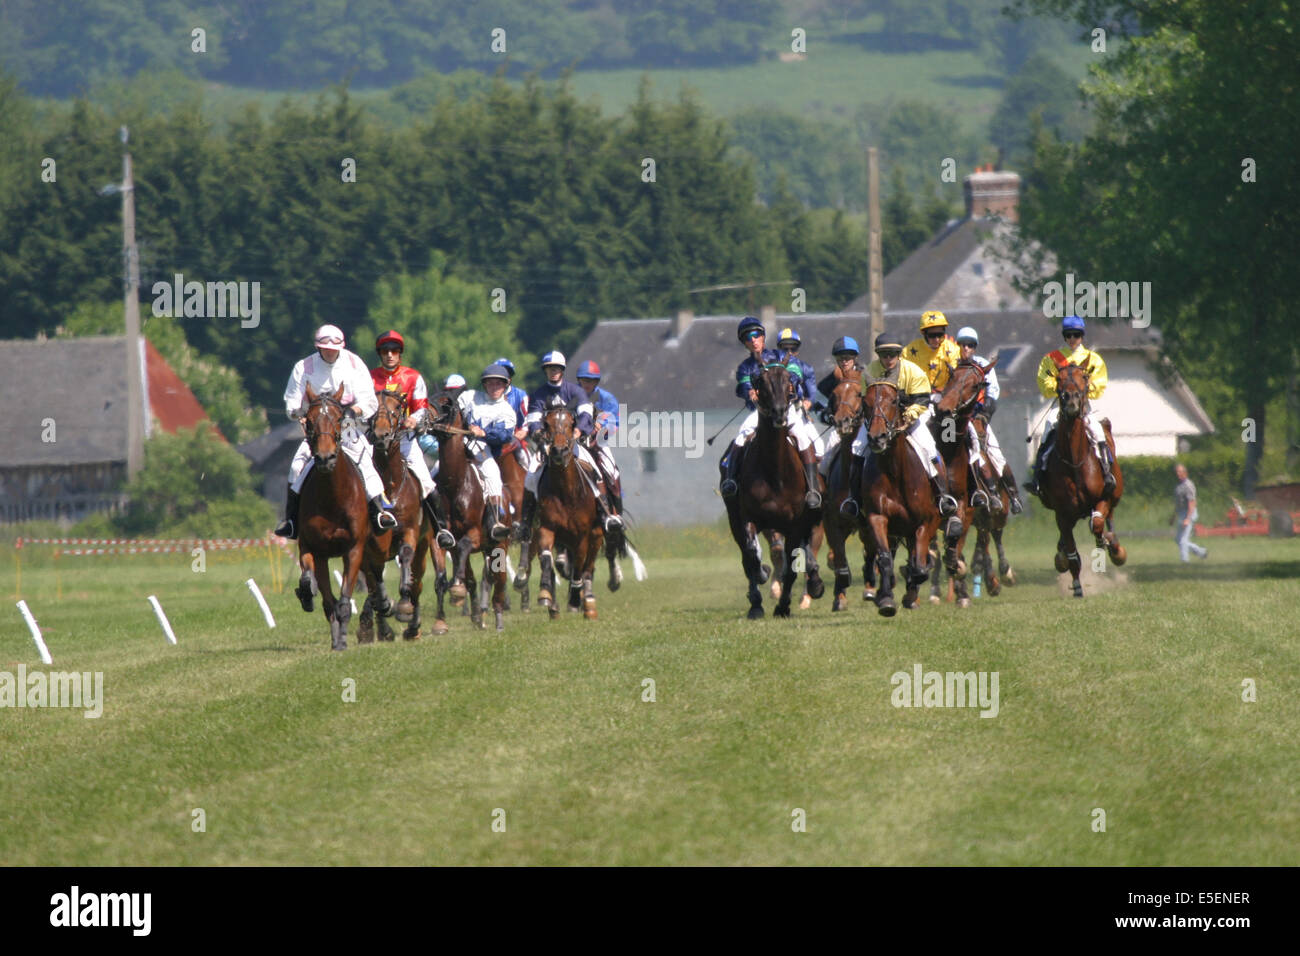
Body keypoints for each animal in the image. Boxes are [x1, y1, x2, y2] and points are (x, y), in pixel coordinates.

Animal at [295, 385, 371, 655]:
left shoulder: (354, 549)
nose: (325, 459)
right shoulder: (315, 550)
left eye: (339, 419)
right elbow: (318, 589)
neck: (333, 497)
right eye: (309, 421)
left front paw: (344, 640)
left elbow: (344, 600)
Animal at [358, 390, 449, 642]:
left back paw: (417, 625)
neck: (390, 485)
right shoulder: (371, 545)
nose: (382, 435)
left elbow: (405, 557)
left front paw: (404, 607)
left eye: (398, 407)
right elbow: (374, 582)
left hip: (428, 543)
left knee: (422, 582)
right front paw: (380, 623)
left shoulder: (409, 531)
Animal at [426, 392, 506, 632]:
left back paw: (498, 619)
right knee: (472, 577)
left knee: (499, 581)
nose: (422, 416)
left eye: (446, 406)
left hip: (499, 544)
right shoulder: (438, 539)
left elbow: (463, 549)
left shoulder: (474, 535)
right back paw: (477, 615)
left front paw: (457, 590)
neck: (456, 486)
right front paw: (440, 621)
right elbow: (441, 579)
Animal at [722, 358, 821, 621]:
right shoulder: (747, 518)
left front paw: (784, 605)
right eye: (760, 383)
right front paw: (760, 590)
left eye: (790, 382)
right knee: (748, 557)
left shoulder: (796, 524)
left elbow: (793, 565)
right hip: (735, 519)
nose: (779, 413)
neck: (775, 472)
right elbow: (752, 556)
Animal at [1029, 364, 1123, 598]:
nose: (1071, 401)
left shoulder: (1103, 498)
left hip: (1114, 495)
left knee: (1107, 520)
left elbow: (1097, 523)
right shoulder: (1062, 513)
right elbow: (1071, 553)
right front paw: (1076, 584)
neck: (1074, 462)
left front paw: (1109, 544)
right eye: (1059, 379)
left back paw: (1114, 547)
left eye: (1084, 377)